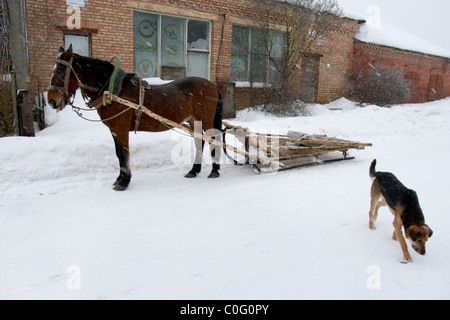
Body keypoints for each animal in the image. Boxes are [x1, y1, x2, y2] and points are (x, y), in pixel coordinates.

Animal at [48, 45, 223, 190]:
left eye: (60, 71)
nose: (51, 100)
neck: (114, 91)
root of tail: (212, 85)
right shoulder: (114, 130)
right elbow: (119, 154)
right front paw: (120, 179)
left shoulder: (121, 129)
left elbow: (123, 154)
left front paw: (123, 181)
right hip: (194, 121)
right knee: (200, 142)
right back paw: (194, 170)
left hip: (206, 120)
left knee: (214, 140)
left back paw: (214, 171)